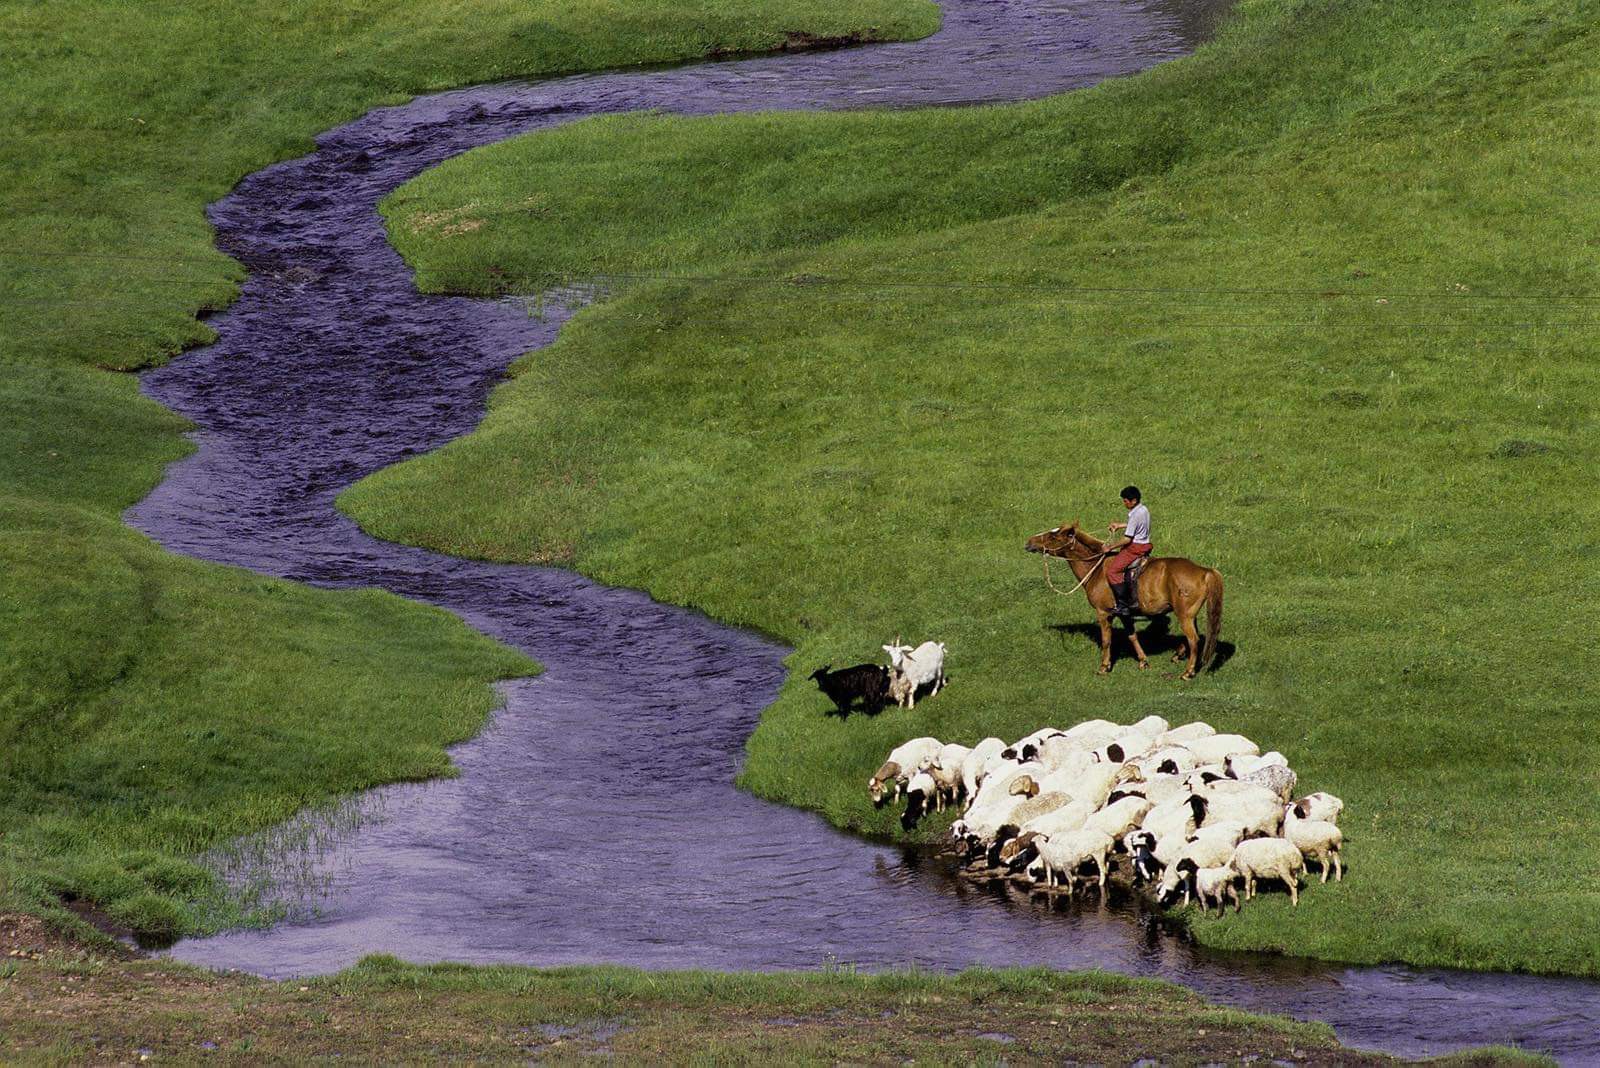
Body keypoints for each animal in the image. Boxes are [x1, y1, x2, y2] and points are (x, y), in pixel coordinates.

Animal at [1025, 521, 1223, 679]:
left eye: (1054, 535)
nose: (1029, 543)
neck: (1096, 569)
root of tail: (1205, 571)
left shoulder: (1103, 613)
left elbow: (1106, 641)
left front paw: (1104, 667)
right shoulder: (1124, 613)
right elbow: (1132, 636)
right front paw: (1143, 661)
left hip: (1184, 616)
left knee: (1194, 639)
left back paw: (1188, 672)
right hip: (1189, 615)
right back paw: (1180, 656)